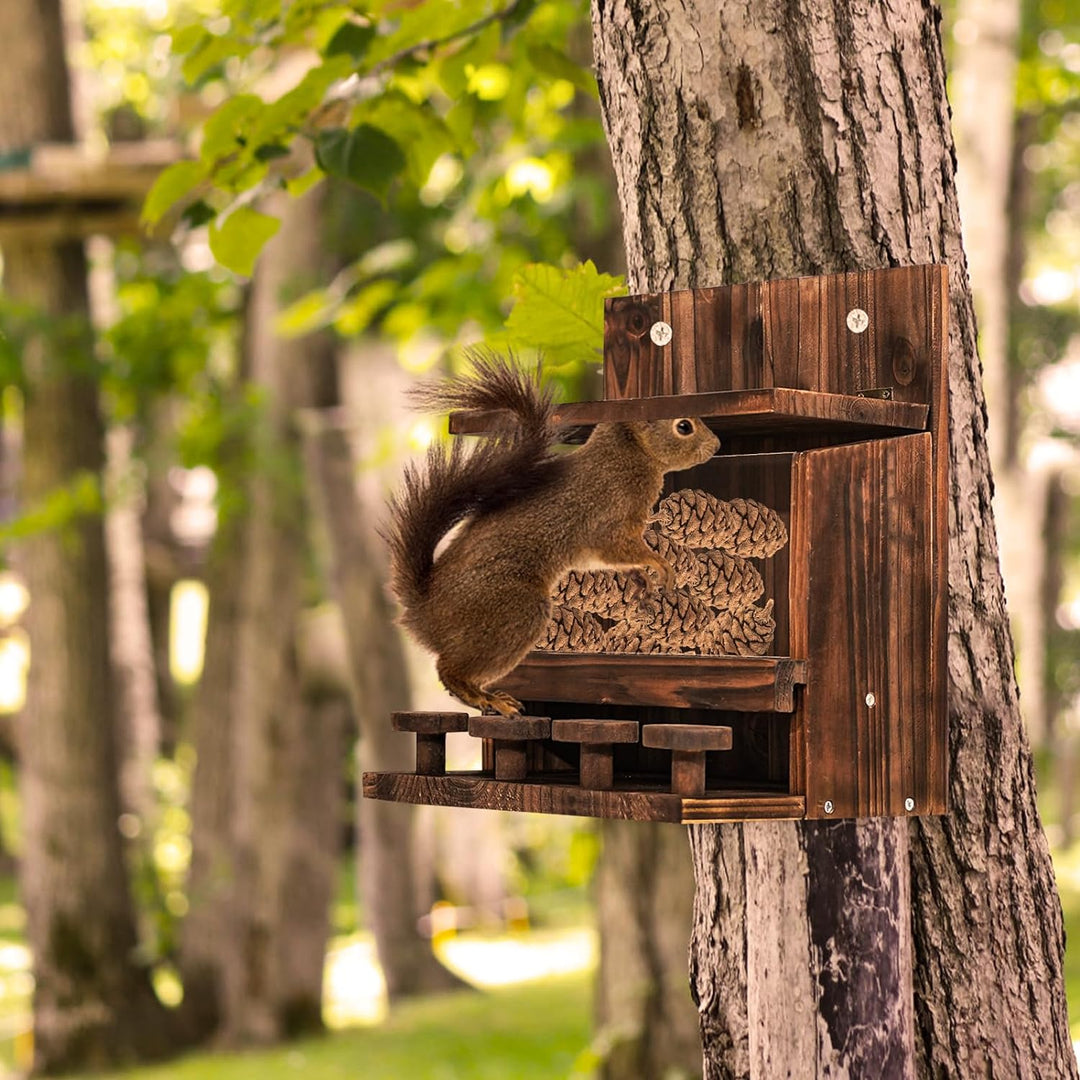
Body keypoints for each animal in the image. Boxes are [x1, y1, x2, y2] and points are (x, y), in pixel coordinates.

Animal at [384, 350, 720, 715]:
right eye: (684, 426)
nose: (717, 445)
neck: (627, 455)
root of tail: (425, 610)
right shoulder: (609, 520)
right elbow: (620, 548)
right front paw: (660, 565)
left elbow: (612, 561)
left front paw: (641, 577)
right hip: (514, 612)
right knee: (450, 669)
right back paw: (487, 698)